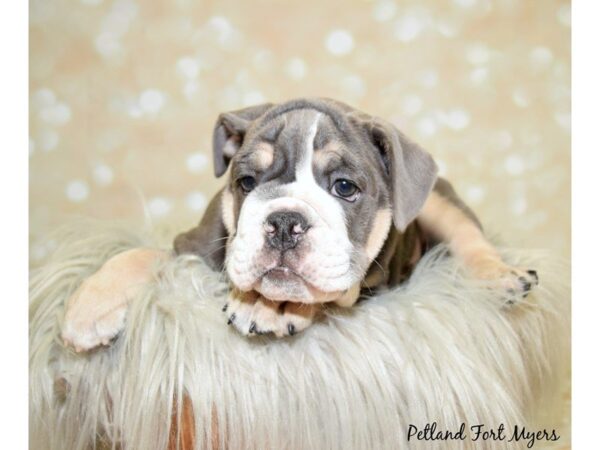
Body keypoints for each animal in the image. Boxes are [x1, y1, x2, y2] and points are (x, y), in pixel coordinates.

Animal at [61, 99, 540, 352]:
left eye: (345, 187)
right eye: (246, 182)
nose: (285, 222)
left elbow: (325, 294)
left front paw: (272, 305)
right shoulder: (190, 248)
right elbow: (140, 254)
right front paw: (90, 305)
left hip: (440, 202)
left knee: (469, 236)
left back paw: (502, 277)